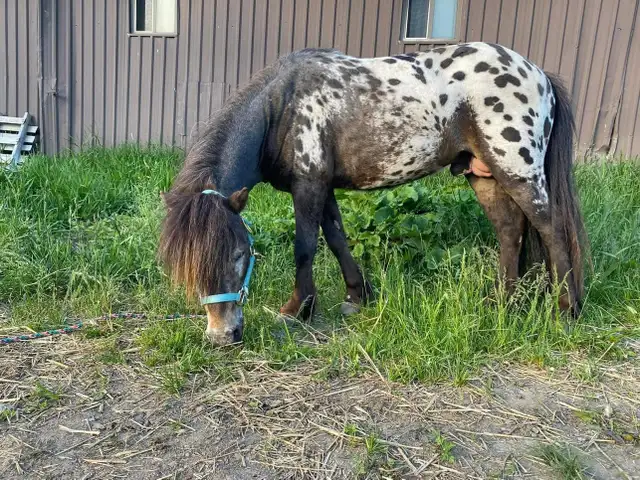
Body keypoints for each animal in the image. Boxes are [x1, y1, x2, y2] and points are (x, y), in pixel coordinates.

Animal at [158, 42, 589, 346]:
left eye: (238, 254)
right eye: (187, 268)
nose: (222, 336)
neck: (282, 106)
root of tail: (538, 73)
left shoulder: (309, 185)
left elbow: (305, 246)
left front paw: (298, 308)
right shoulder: (322, 187)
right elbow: (336, 240)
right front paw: (357, 295)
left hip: (518, 170)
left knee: (551, 230)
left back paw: (566, 310)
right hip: (483, 174)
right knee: (510, 230)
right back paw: (502, 302)